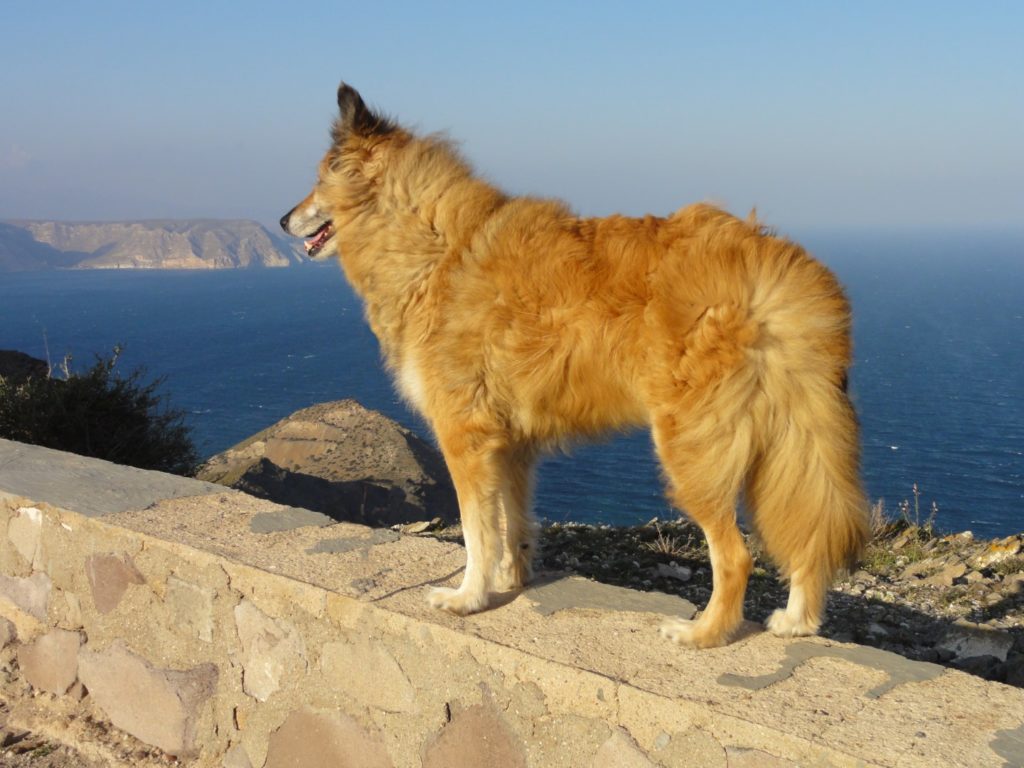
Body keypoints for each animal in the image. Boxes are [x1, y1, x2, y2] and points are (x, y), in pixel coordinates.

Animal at [284, 82, 868, 651]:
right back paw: (797, 622)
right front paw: (510, 579)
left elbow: (477, 531)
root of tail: (767, 263)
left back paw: (704, 633)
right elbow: (511, 522)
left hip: (692, 448)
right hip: (790, 443)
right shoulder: (510, 445)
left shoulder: (464, 437)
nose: (284, 219)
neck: (431, 244)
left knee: (737, 555)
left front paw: (468, 597)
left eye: (320, 178)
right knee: (808, 526)